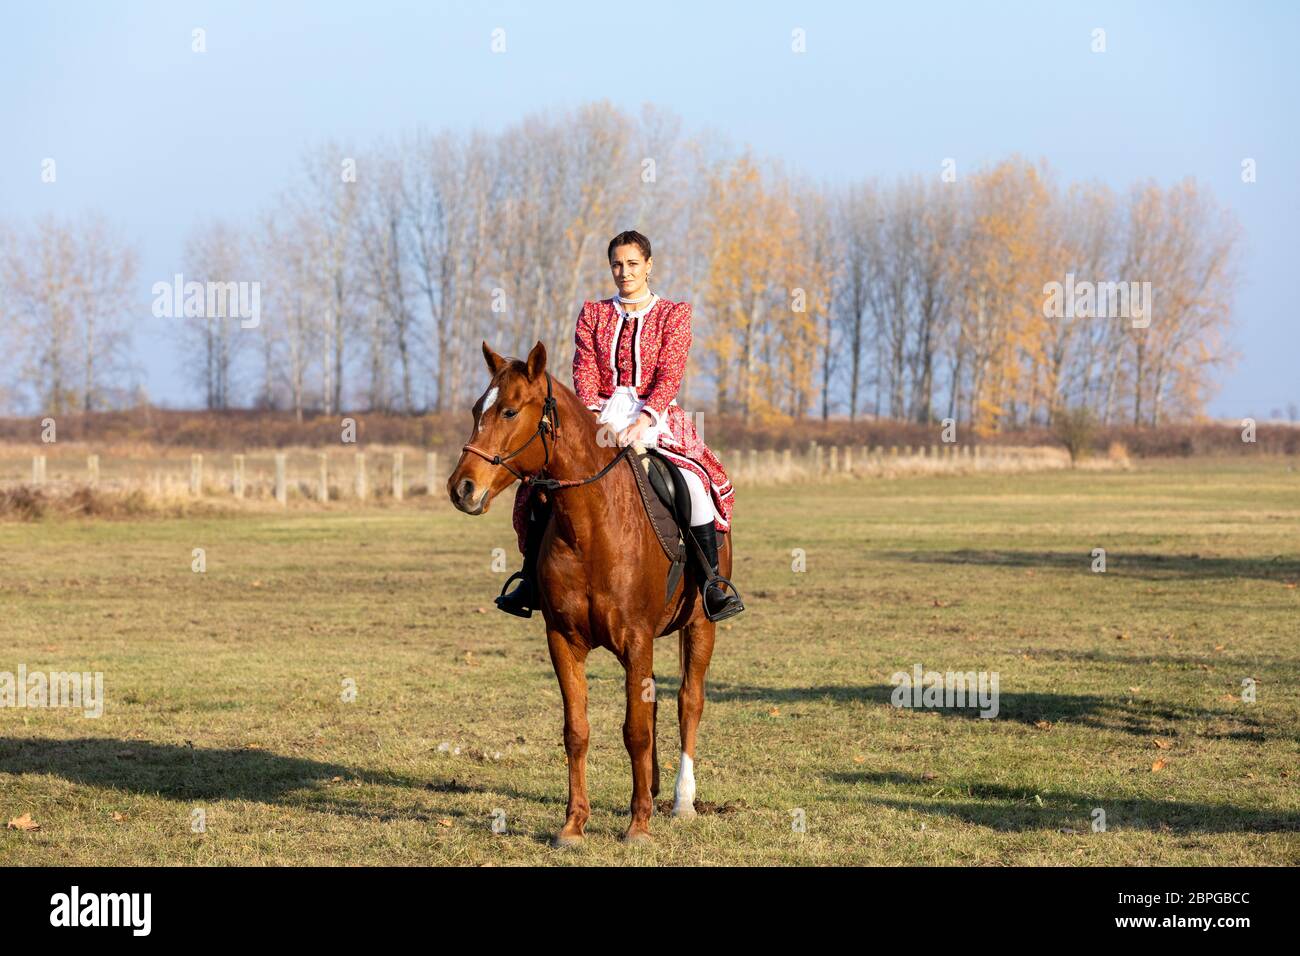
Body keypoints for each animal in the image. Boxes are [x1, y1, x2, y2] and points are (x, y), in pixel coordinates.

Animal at [447, 340, 733, 842]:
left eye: (509, 410)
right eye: (476, 410)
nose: (461, 488)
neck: (591, 527)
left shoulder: (636, 639)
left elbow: (635, 729)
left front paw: (638, 827)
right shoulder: (563, 640)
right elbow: (577, 730)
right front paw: (574, 825)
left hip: (701, 625)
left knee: (688, 702)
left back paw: (681, 800)